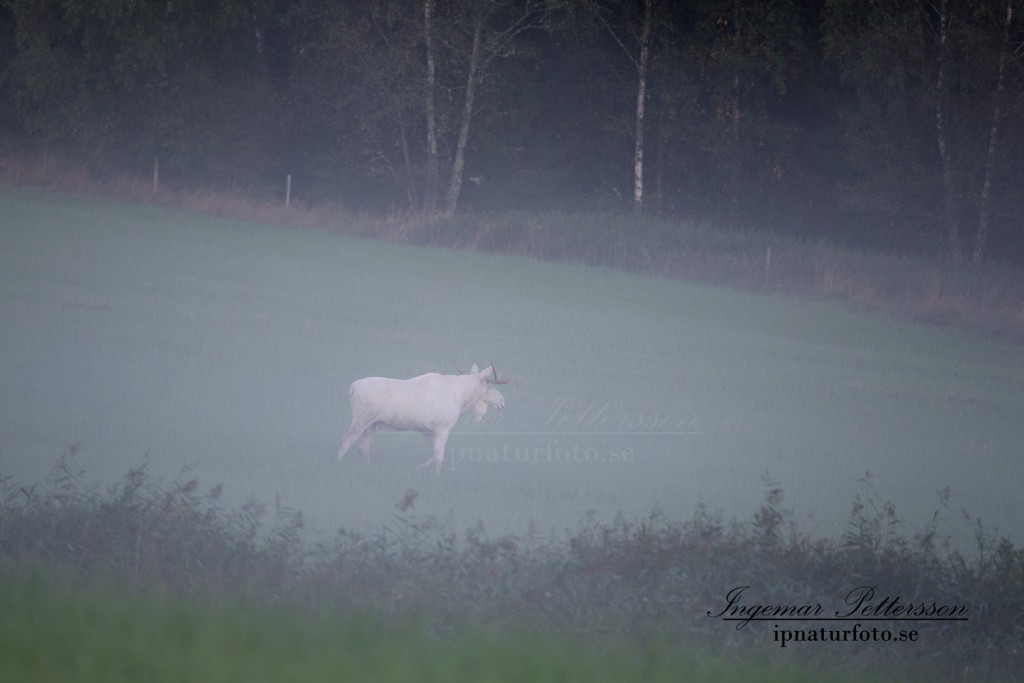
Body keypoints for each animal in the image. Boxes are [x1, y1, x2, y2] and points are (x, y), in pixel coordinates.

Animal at [339, 366, 507, 473]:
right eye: (490, 386)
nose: (502, 402)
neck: (462, 396)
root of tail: (352, 388)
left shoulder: (426, 430)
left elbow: (434, 453)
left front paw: (423, 466)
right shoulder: (443, 427)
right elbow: (439, 456)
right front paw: (436, 473)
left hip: (371, 423)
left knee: (363, 447)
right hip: (361, 419)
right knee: (345, 442)